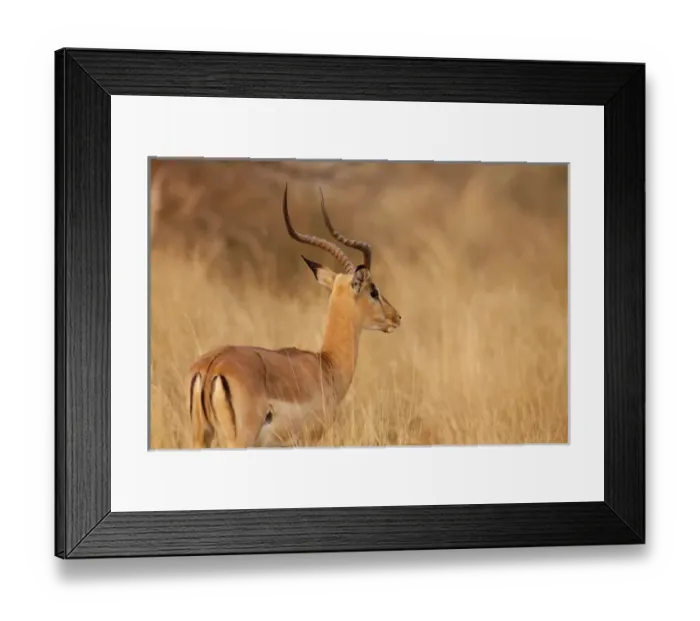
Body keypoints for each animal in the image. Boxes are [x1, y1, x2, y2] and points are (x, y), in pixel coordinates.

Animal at [187, 184, 402, 449]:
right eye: (373, 291)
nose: (396, 317)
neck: (325, 365)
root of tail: (211, 366)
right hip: (238, 440)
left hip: (201, 437)